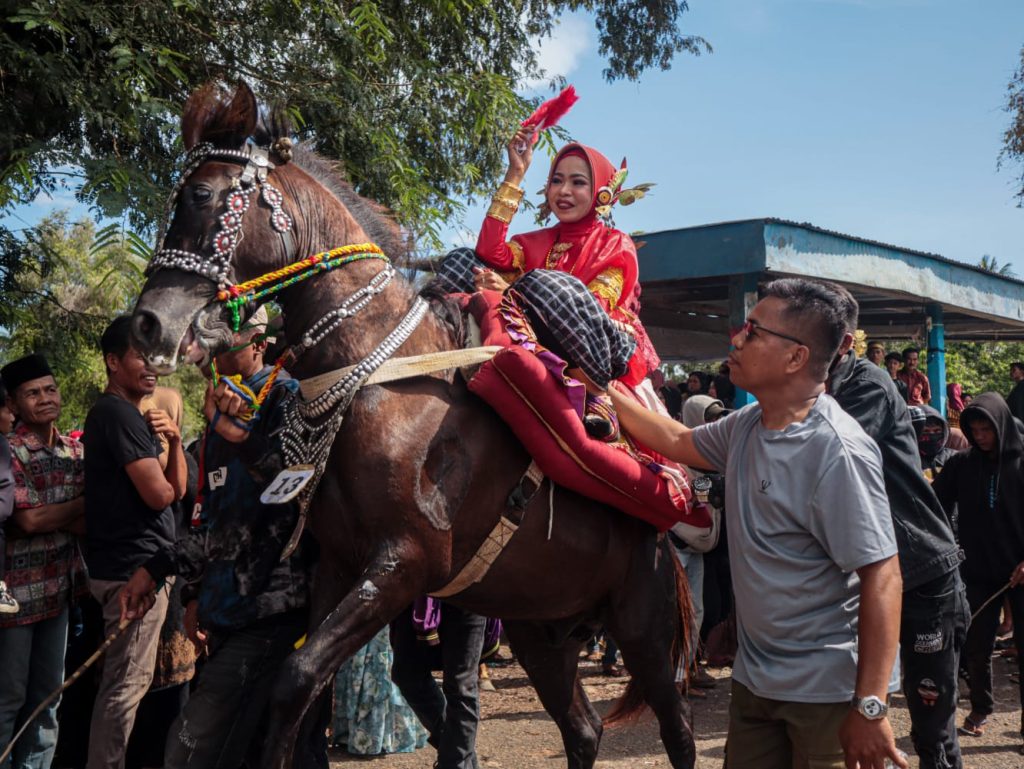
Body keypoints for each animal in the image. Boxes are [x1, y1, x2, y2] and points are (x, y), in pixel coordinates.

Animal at [132, 83, 700, 769]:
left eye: (202, 196)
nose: (148, 325)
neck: (382, 376)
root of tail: (666, 535)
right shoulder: (339, 566)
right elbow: (299, 696)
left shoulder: (403, 565)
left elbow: (295, 679)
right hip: (540, 627)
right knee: (582, 728)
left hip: (642, 627)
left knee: (677, 726)